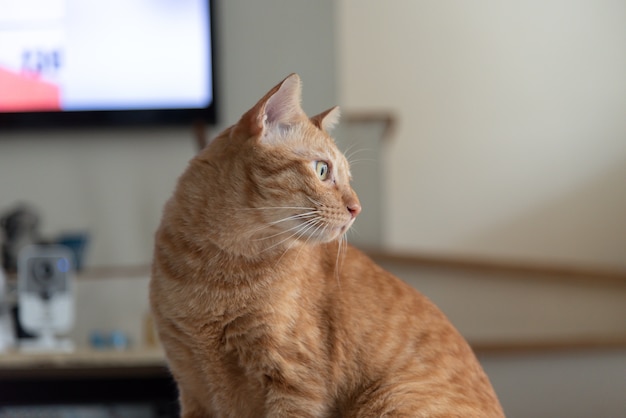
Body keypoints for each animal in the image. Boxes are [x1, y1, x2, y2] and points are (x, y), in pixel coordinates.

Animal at [150, 73, 502, 416]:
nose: (357, 208)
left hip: (390, 399)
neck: (216, 266)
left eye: (347, 178)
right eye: (322, 170)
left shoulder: (295, 384)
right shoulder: (191, 384)